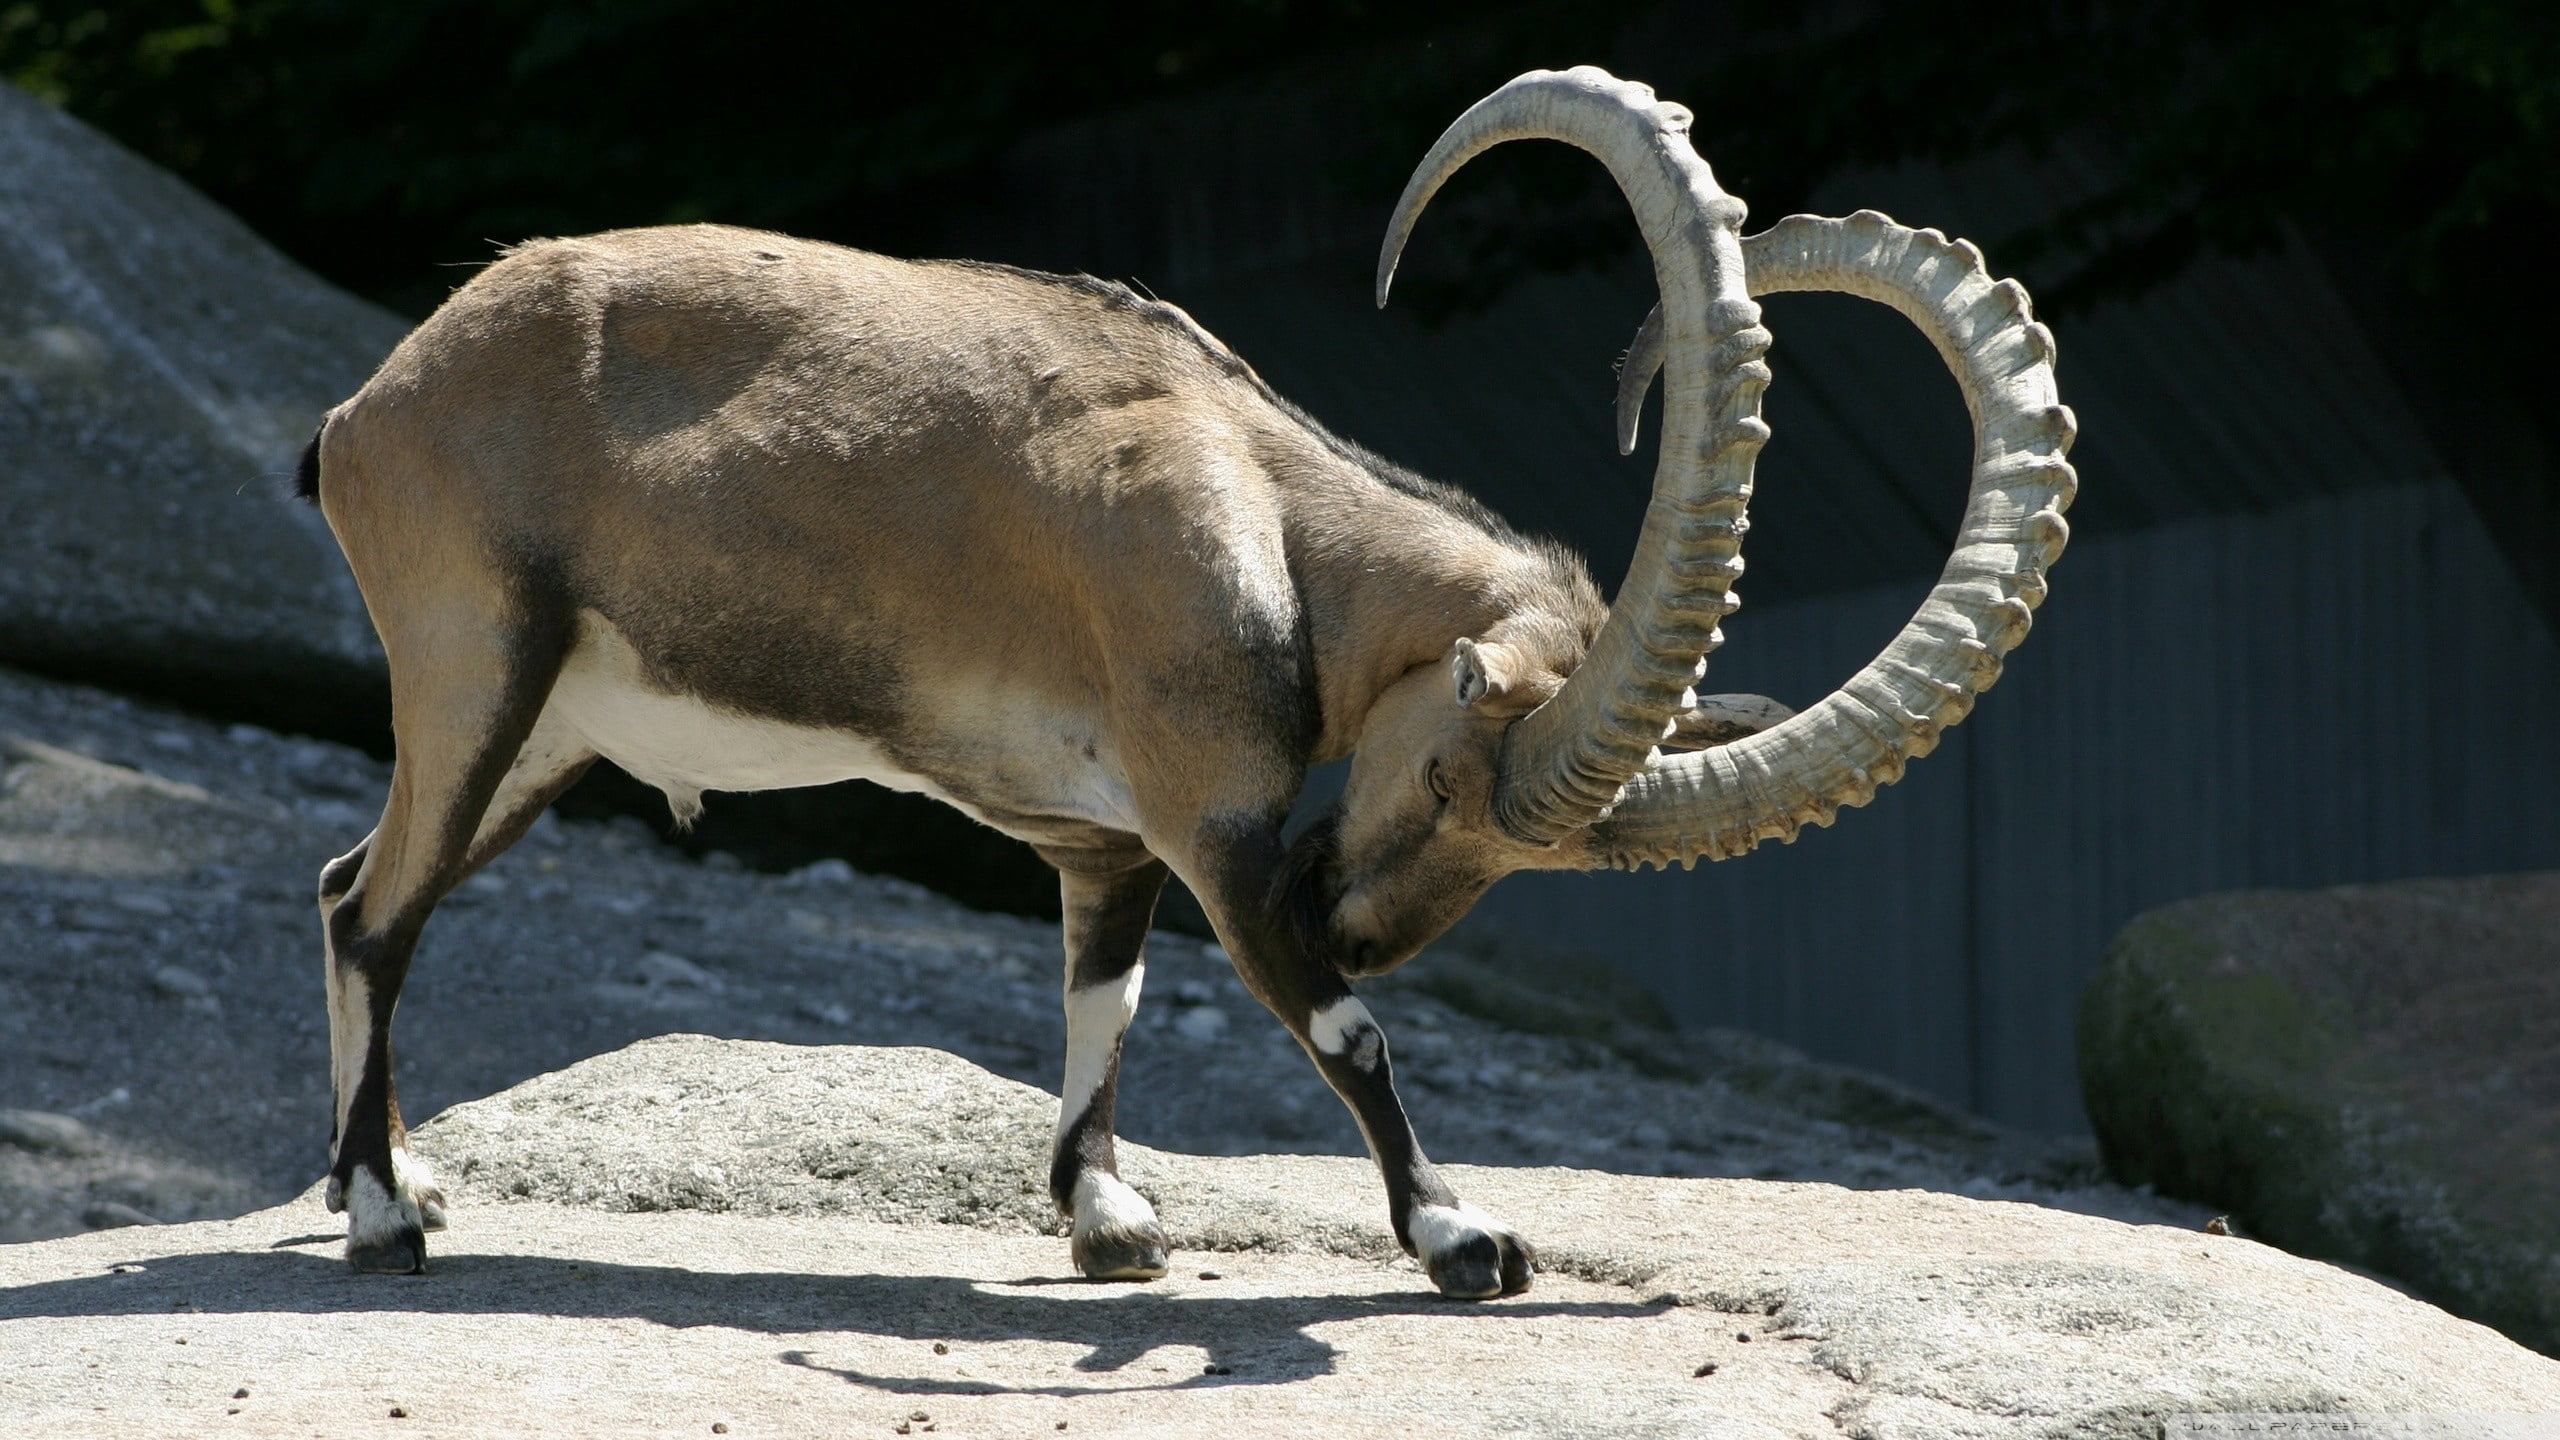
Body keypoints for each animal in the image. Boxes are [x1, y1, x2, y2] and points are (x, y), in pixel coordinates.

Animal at [298, 68, 2073, 1297]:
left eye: (1538, 858)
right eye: (1448, 768)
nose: (1356, 913)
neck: (1264, 508)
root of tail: (372, 406)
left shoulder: (1112, 838)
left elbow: (1108, 998)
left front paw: (1107, 1217)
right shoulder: (1218, 829)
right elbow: (1340, 1034)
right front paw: (1462, 1239)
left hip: (550, 733)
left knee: (341, 886)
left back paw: (376, 1180)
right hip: (476, 664)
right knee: (381, 910)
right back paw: (384, 1220)